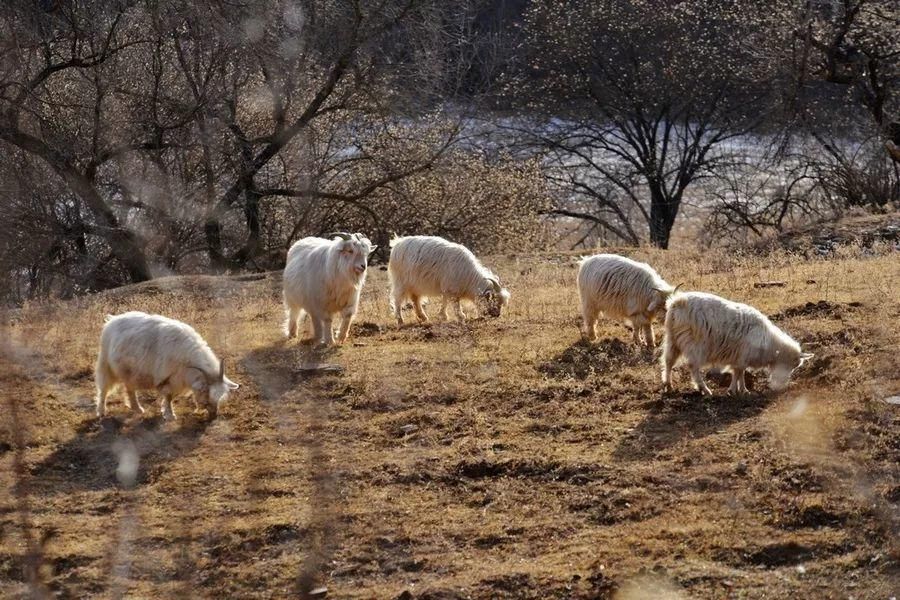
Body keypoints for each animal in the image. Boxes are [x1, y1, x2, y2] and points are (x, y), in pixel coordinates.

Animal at [96, 312, 239, 420]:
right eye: (207, 394)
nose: (214, 415)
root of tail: (112, 320)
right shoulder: (167, 377)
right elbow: (169, 396)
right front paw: (170, 415)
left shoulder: (177, 379)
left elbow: (170, 397)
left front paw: (165, 411)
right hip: (106, 364)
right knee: (104, 389)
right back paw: (102, 411)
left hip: (129, 372)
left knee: (129, 388)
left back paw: (137, 408)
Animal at [660, 292, 816, 396]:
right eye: (791, 366)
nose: (783, 386)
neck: (771, 345)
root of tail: (677, 302)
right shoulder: (742, 356)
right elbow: (738, 372)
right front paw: (735, 390)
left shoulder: (740, 358)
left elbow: (740, 372)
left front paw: (742, 390)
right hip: (696, 345)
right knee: (693, 367)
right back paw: (704, 389)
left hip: (672, 339)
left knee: (668, 361)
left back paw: (668, 385)